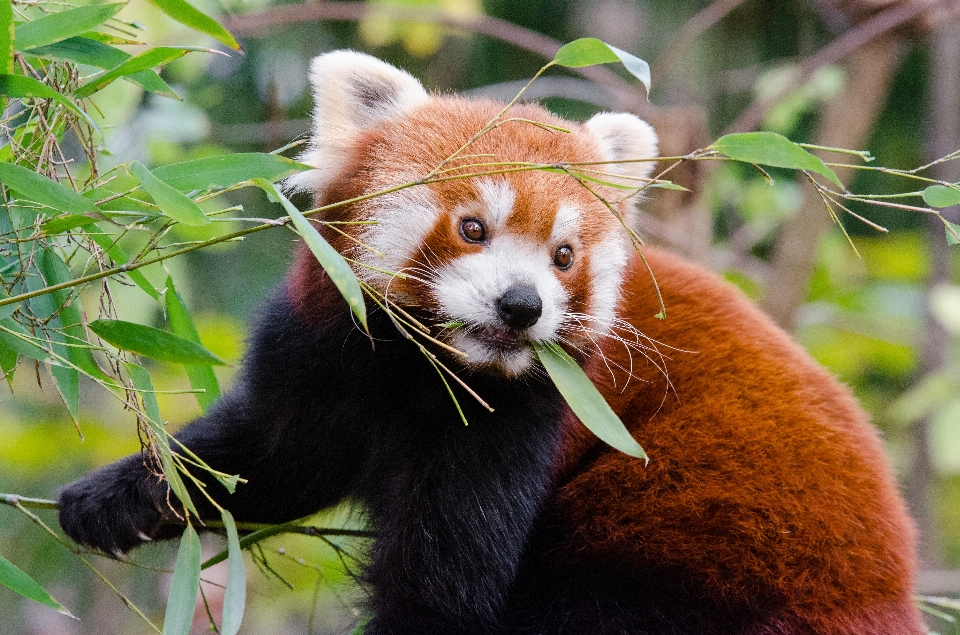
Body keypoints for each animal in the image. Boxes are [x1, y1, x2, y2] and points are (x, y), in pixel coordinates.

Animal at [58, 51, 924, 635]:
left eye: (564, 255)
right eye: (473, 227)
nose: (521, 305)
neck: (421, 369)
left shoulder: (521, 423)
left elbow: (444, 593)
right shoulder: (321, 353)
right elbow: (268, 459)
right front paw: (119, 495)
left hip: (697, 544)